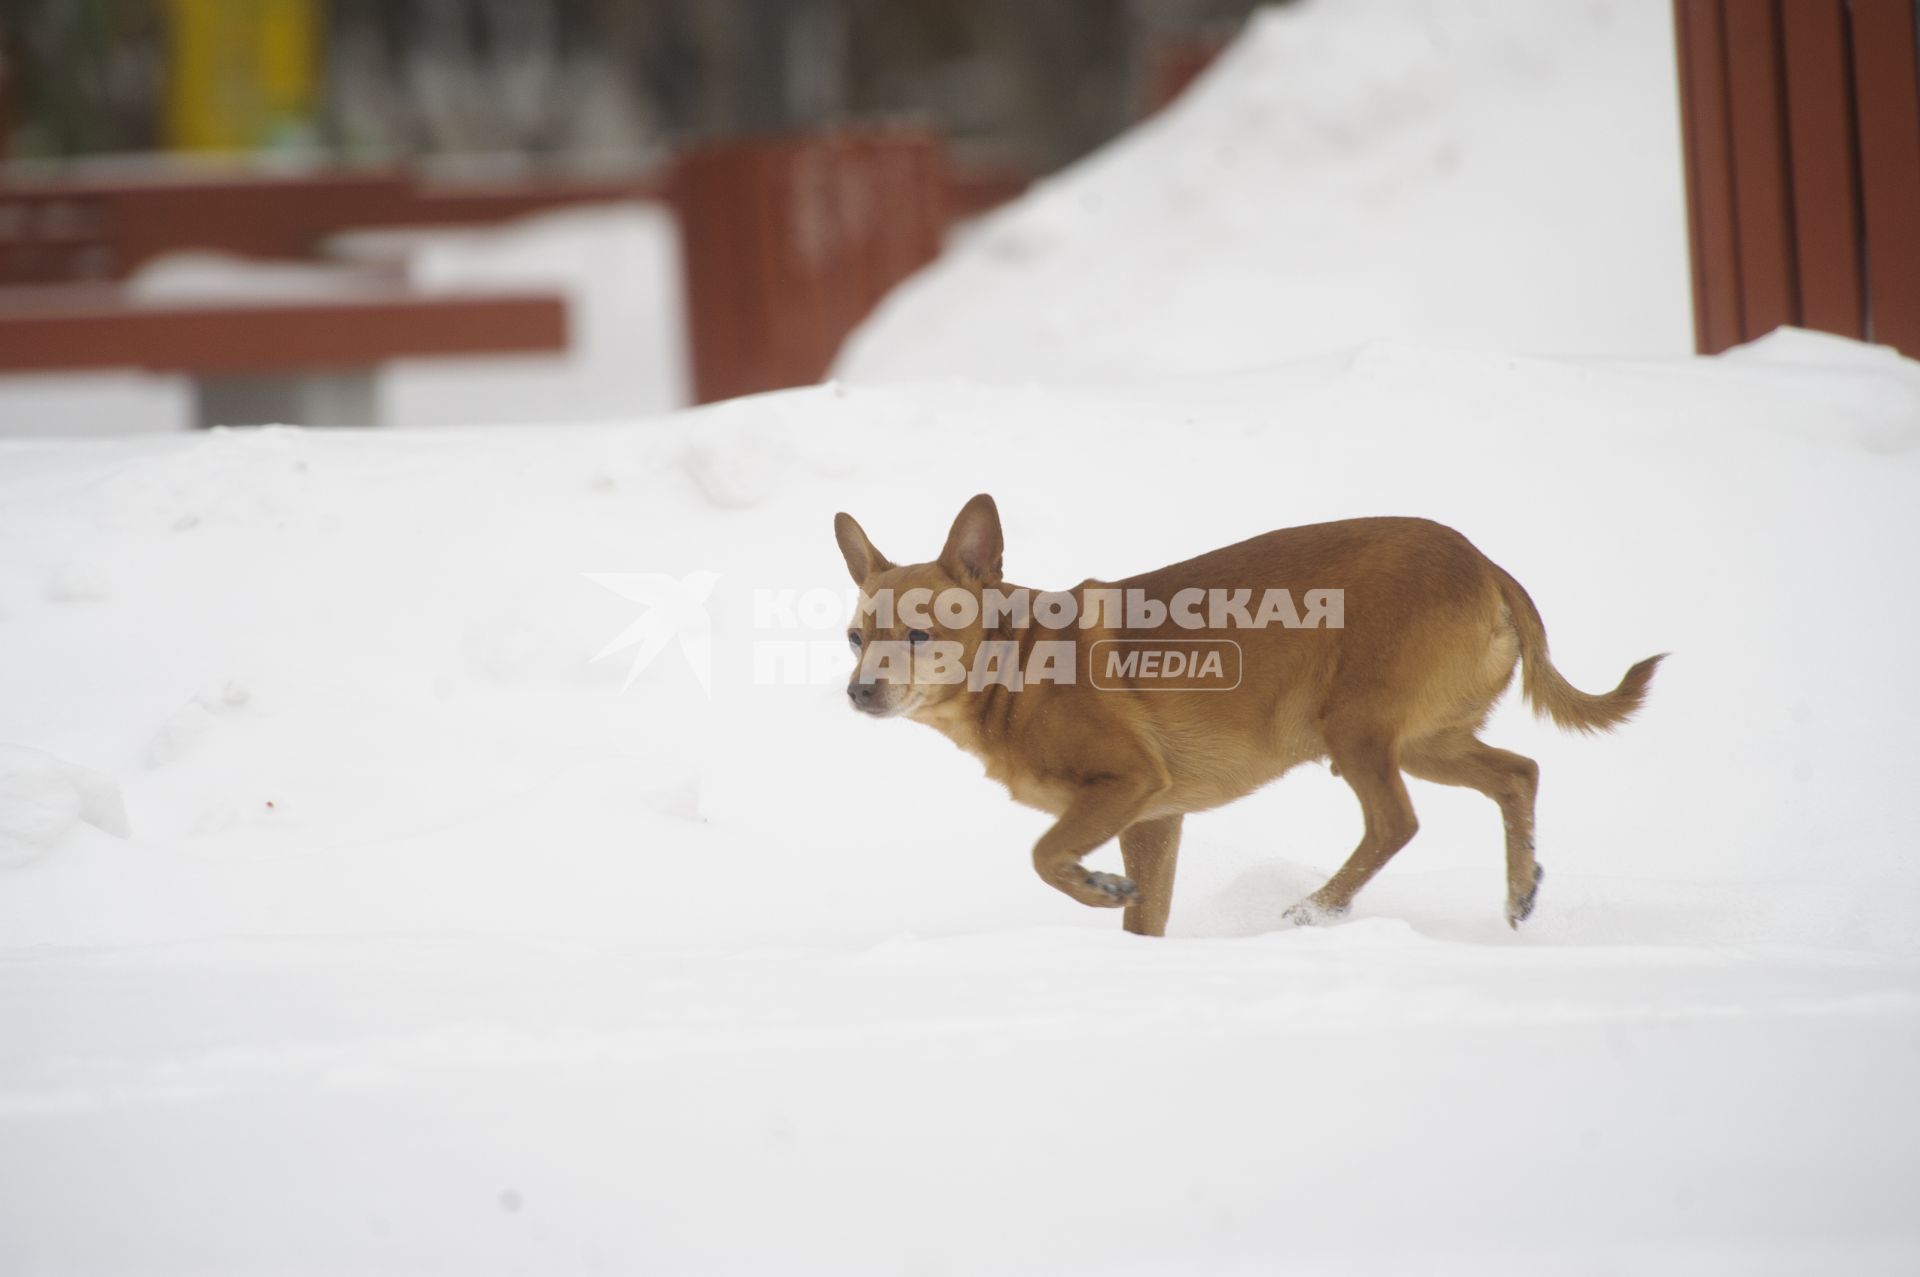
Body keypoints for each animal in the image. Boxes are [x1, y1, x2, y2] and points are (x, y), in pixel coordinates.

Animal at [833, 491, 1658, 933]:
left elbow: (1045, 854)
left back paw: (1313, 911)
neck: (1020, 664)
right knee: (1520, 771)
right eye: (853, 637)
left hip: (1357, 728)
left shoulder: (1128, 784)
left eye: (919, 634)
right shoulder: (1155, 818)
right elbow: (1145, 915)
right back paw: (1520, 889)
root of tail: (1487, 564)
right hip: (1425, 739)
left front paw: (1097, 886)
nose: (858, 691)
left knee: (1396, 822)